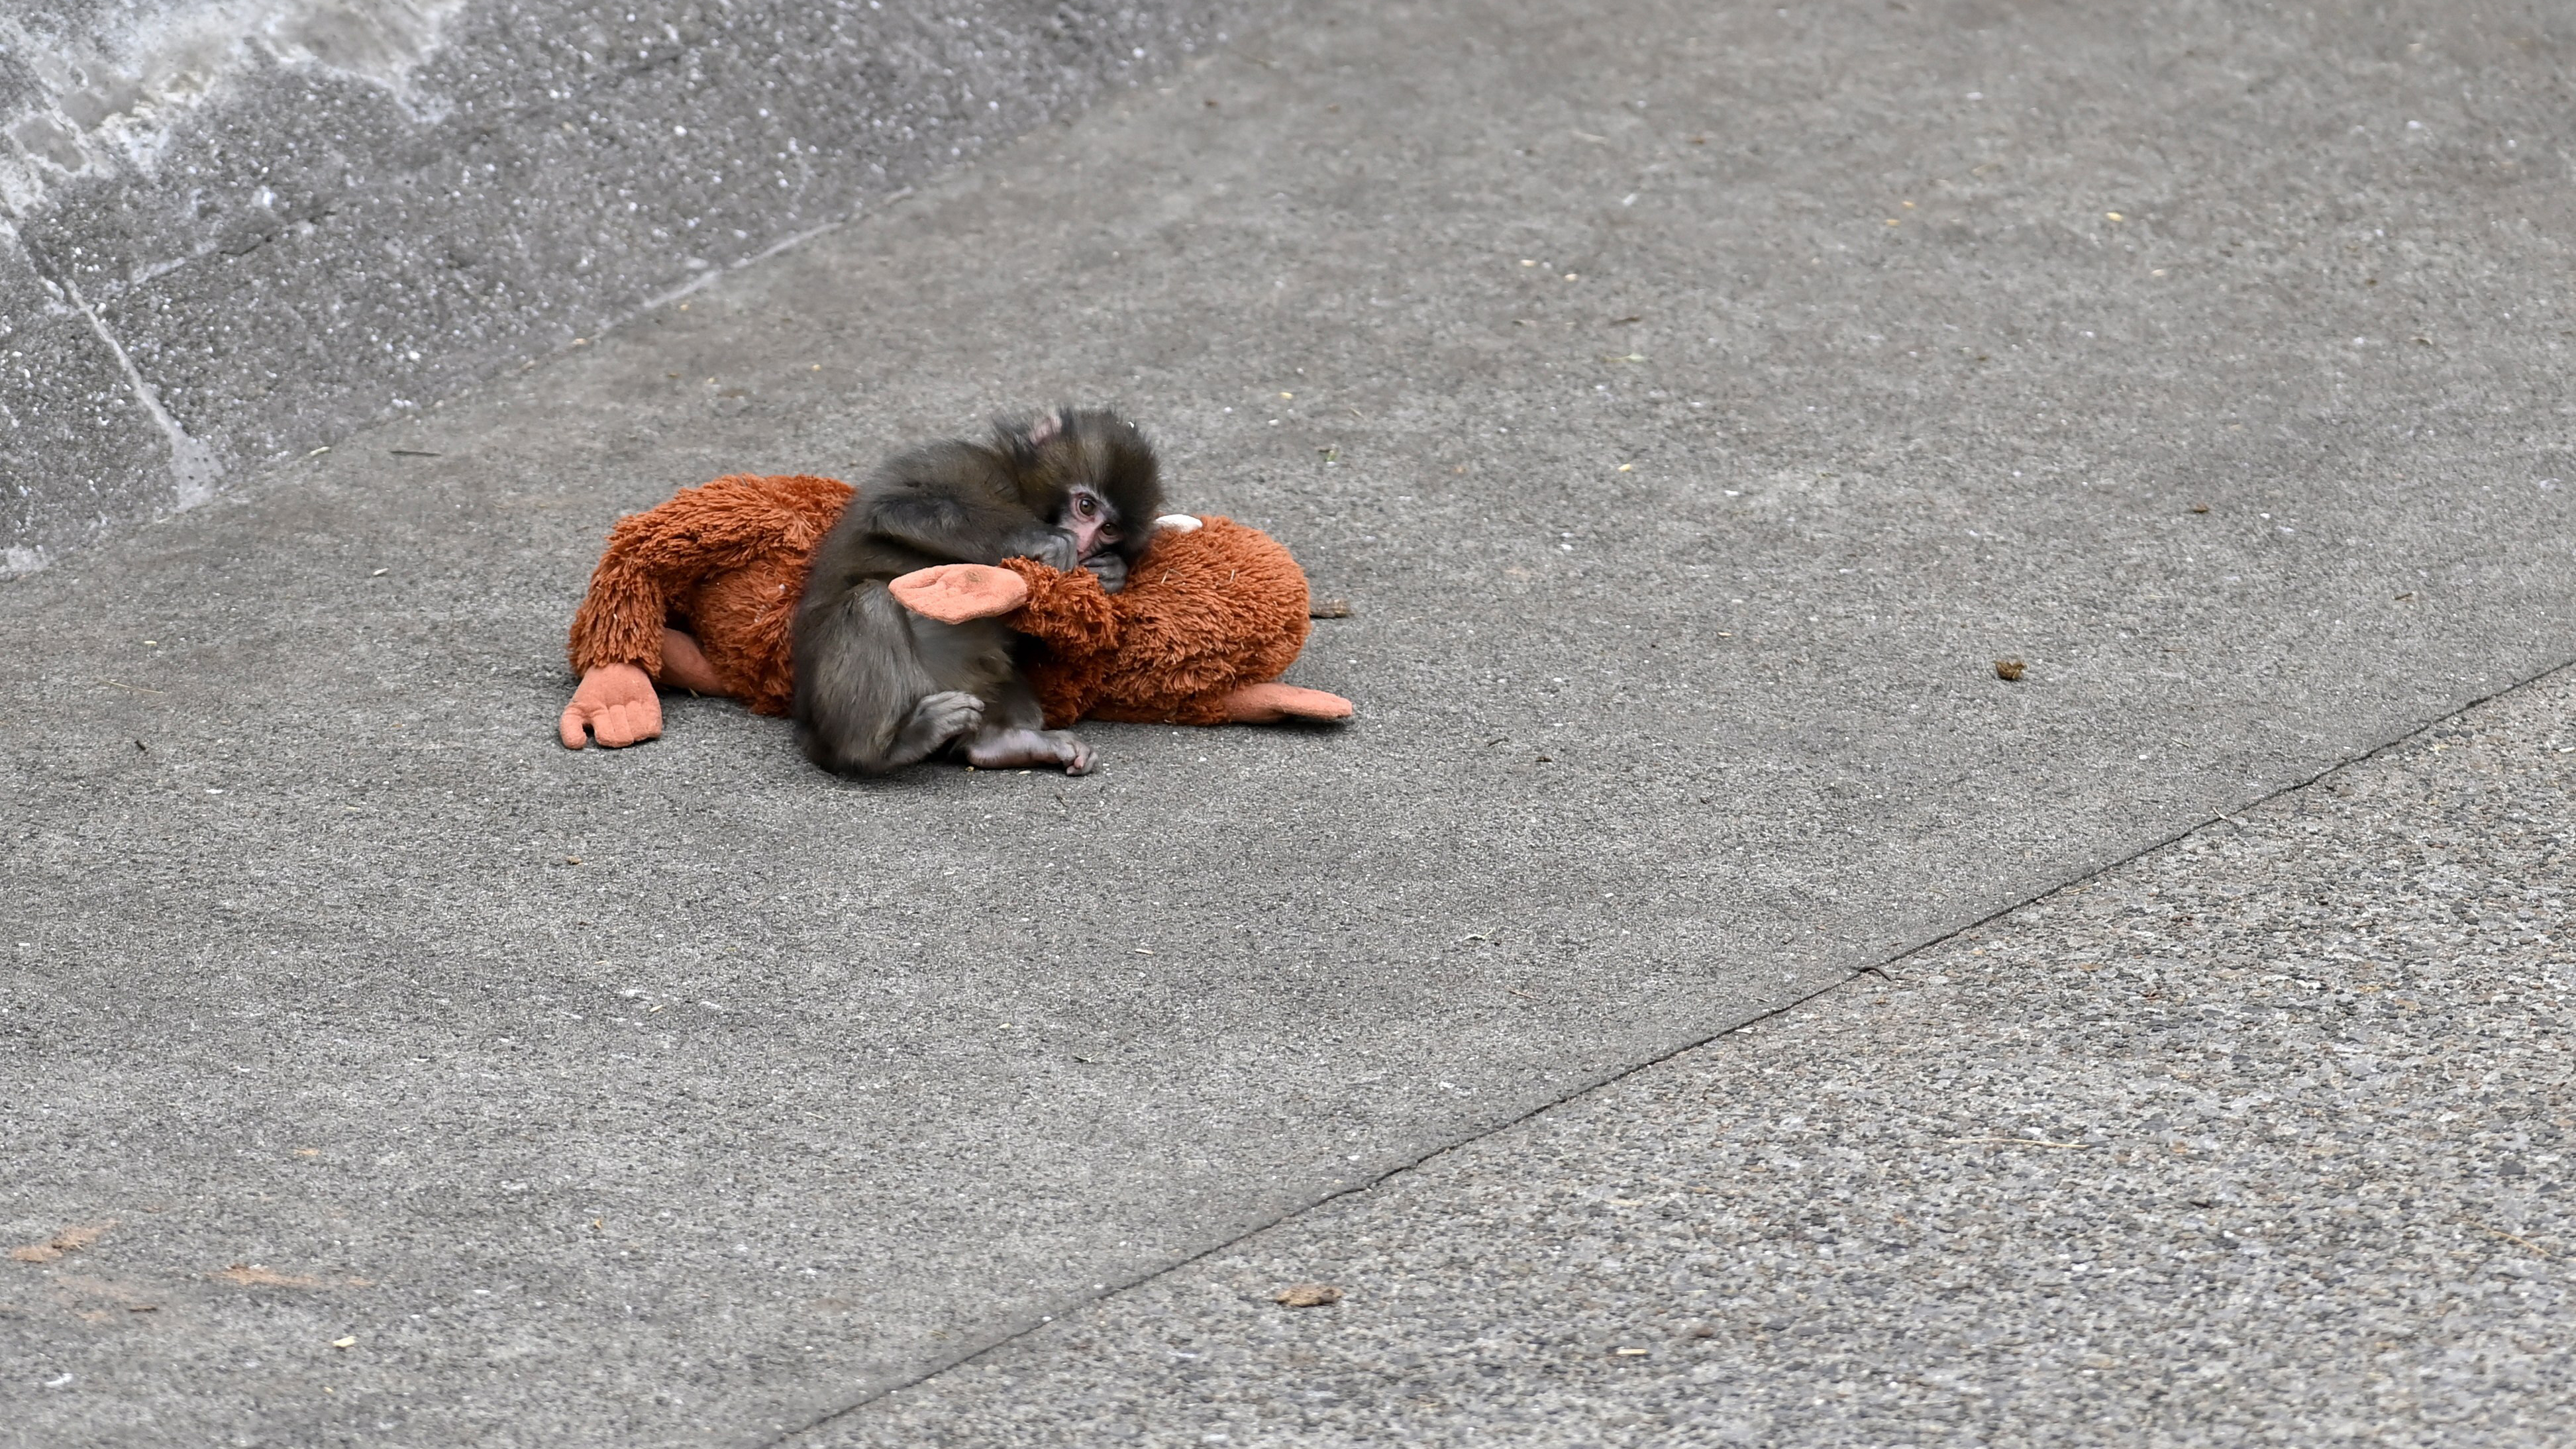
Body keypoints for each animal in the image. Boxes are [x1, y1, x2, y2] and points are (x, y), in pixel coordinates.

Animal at [789, 407, 1165, 776]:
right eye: (1086, 506)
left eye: (1109, 529)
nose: (1086, 544)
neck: (1017, 488)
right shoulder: (962, 462)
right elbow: (897, 507)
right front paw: (1043, 539)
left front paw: (1113, 573)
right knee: (870, 603)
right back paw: (886, 748)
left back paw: (1002, 743)